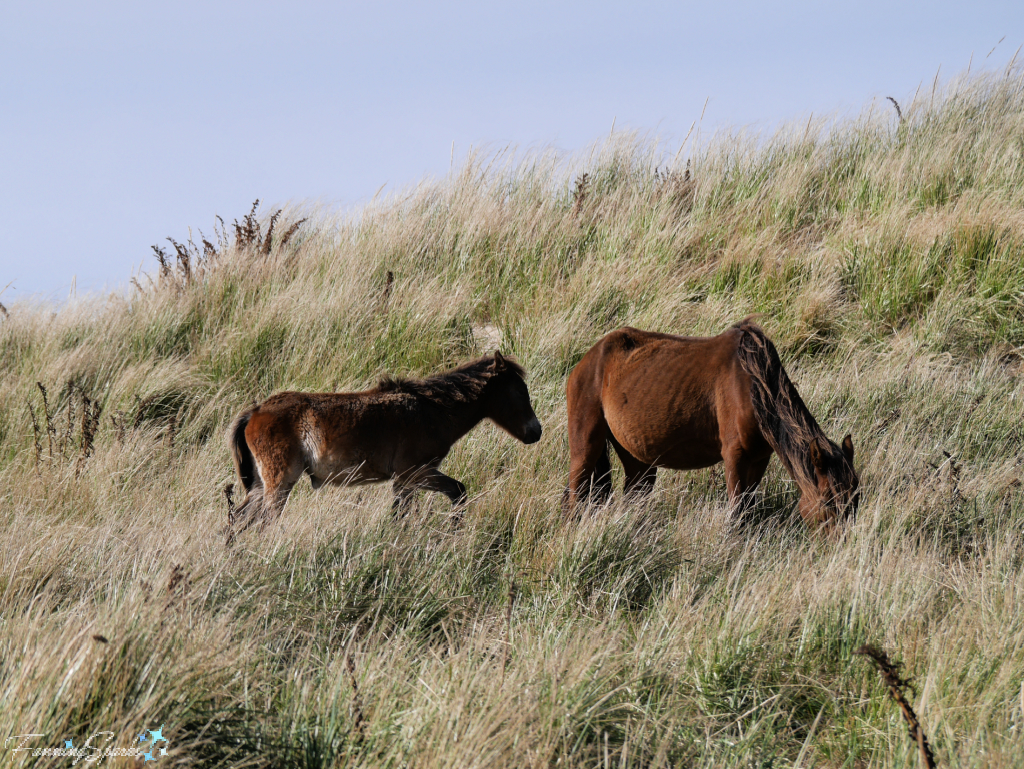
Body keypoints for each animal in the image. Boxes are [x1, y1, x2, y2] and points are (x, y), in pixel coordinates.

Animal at [225, 352, 544, 544]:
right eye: (519, 391)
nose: (536, 432)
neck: (432, 410)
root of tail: (255, 411)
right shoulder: (414, 474)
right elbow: (457, 493)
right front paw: (453, 536)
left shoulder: (407, 482)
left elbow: (403, 517)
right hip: (279, 485)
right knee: (262, 523)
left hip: (260, 486)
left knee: (236, 520)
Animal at [565, 319, 860, 528]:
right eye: (828, 501)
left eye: (855, 499)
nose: (841, 545)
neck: (754, 387)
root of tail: (587, 360)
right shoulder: (735, 457)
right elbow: (737, 512)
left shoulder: (759, 458)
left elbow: (748, 507)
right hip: (586, 449)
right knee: (575, 497)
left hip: (638, 460)